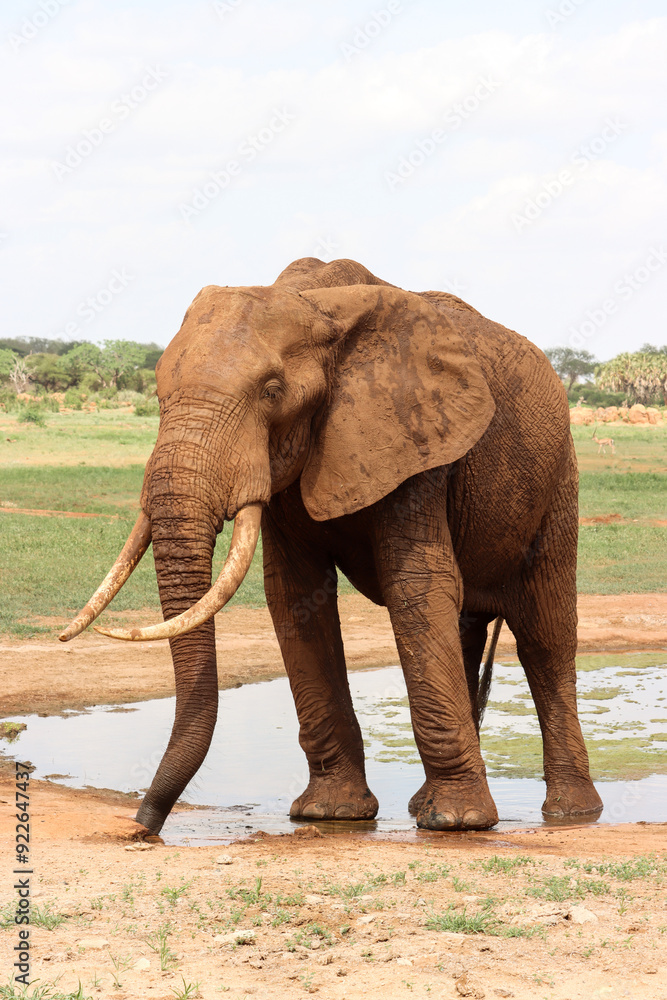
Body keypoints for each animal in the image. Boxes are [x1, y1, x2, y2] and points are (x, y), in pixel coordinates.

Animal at [60, 257, 603, 835]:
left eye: (272, 390)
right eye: (160, 396)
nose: (143, 826)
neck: (313, 303)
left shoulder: (414, 439)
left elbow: (415, 587)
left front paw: (457, 823)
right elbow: (295, 596)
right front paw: (331, 813)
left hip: (559, 478)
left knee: (545, 634)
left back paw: (568, 813)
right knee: (466, 629)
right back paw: (425, 805)